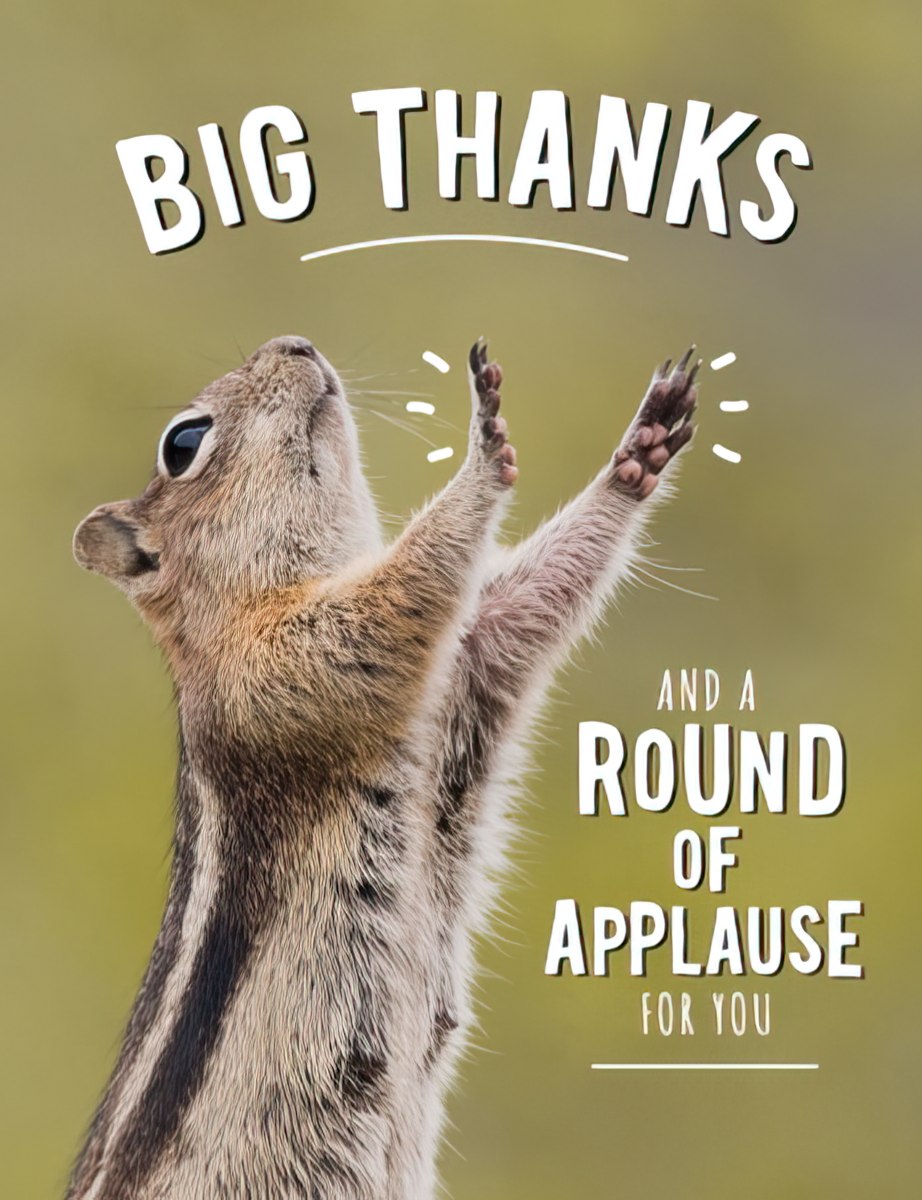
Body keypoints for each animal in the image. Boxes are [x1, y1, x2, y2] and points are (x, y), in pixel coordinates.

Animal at [68, 334, 698, 1199]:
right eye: (184, 442)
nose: (293, 341)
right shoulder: (286, 664)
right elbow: (398, 597)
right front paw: (484, 448)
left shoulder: (465, 677)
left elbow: (514, 613)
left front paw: (639, 452)